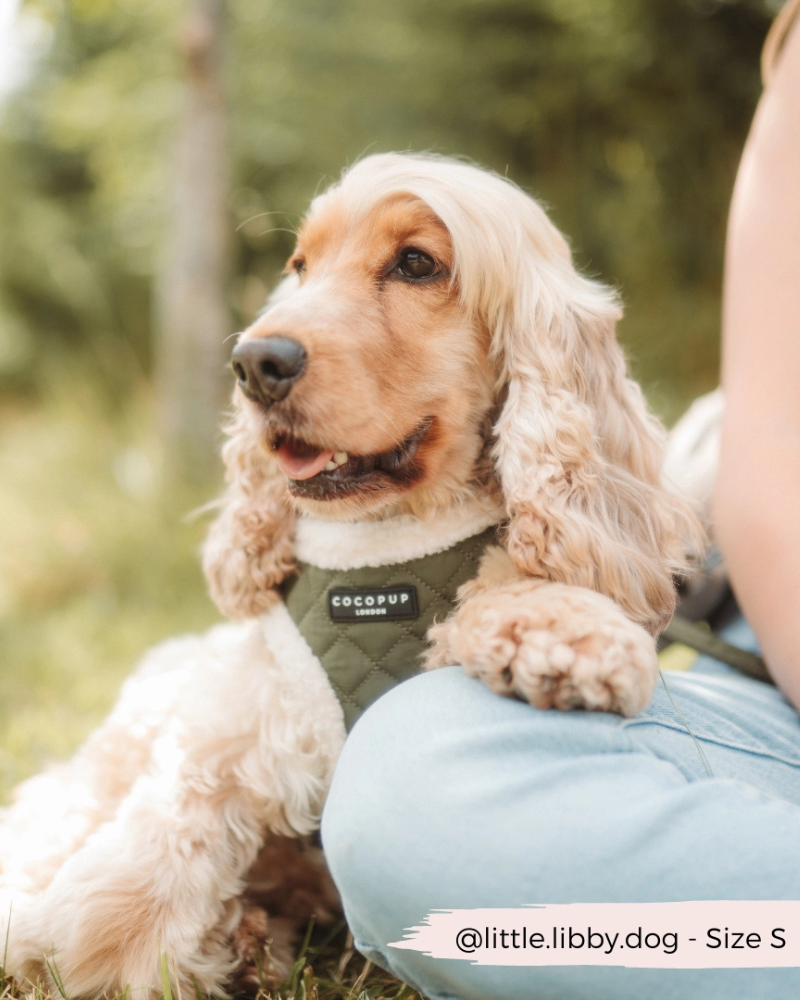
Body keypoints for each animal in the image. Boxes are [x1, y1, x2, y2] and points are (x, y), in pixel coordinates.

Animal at [0, 150, 700, 1000]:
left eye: (417, 264)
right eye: (300, 267)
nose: (255, 362)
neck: (383, 543)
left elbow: (511, 583)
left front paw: (567, 639)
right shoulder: (230, 725)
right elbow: (159, 846)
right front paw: (89, 955)